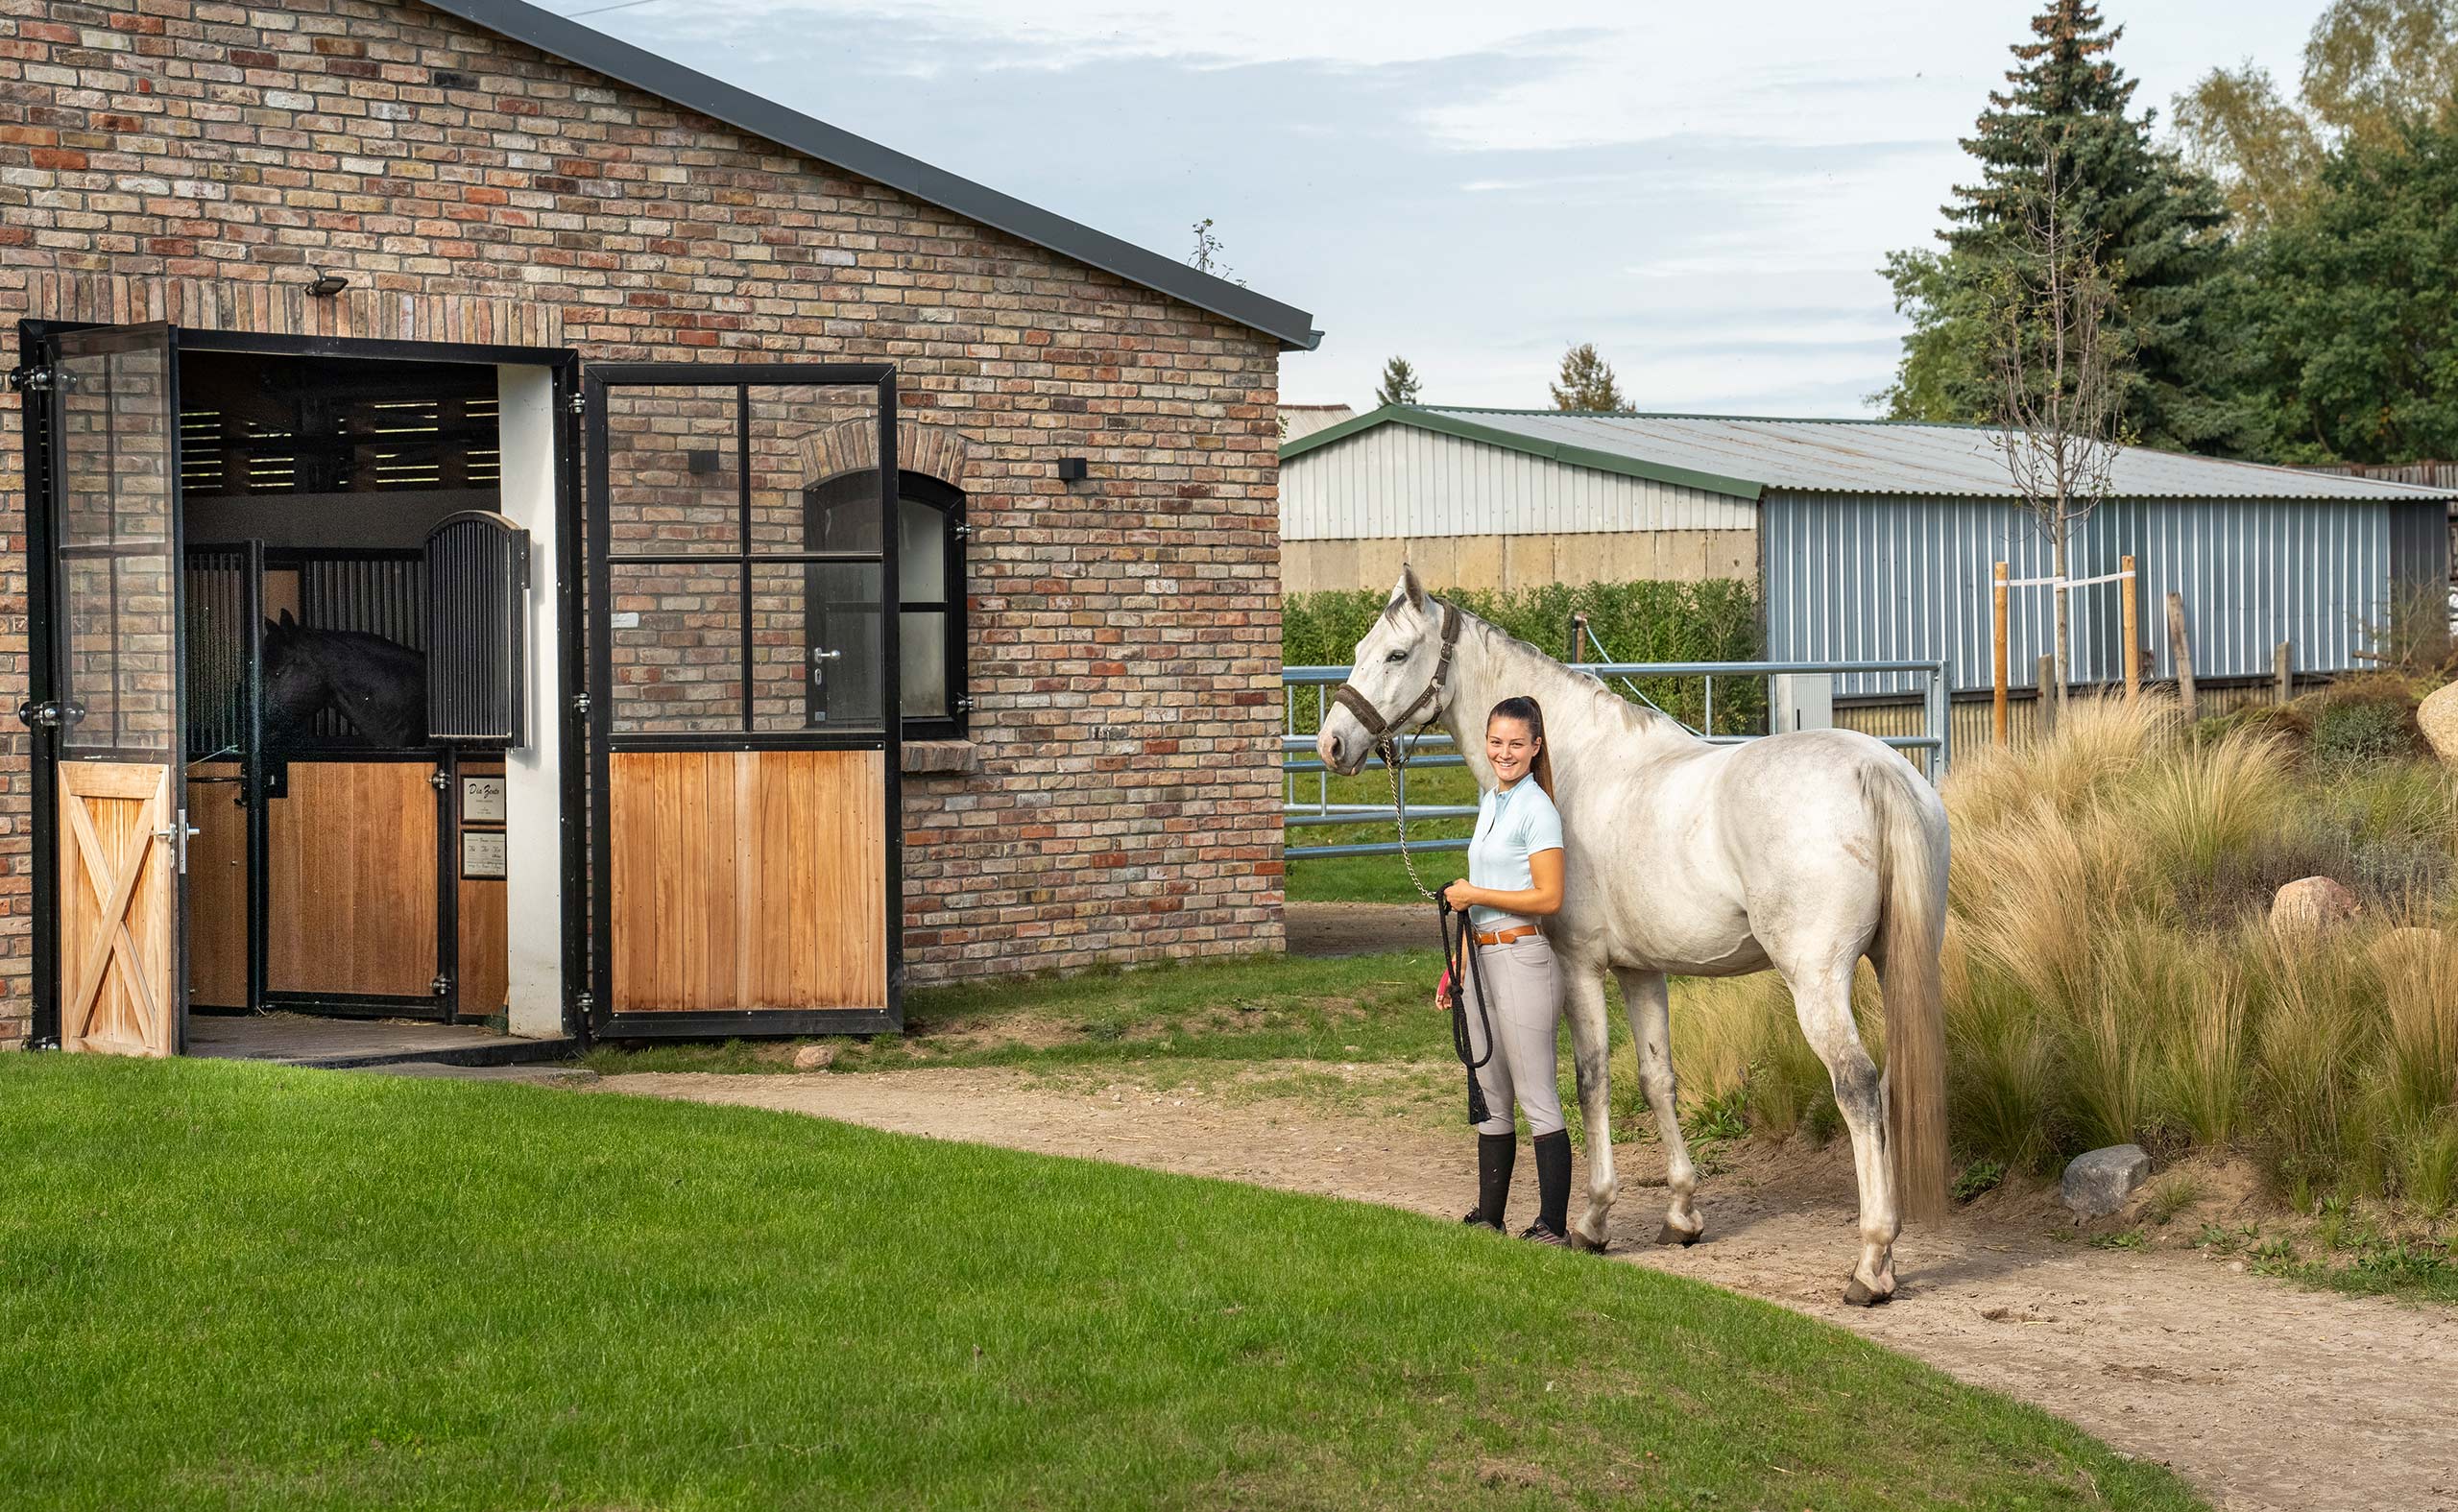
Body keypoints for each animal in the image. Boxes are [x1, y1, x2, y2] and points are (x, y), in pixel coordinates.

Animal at [1317, 567, 1946, 1298]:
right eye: (1361, 648)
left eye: (1396, 654)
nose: (1333, 744)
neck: (1579, 765)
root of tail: (1877, 769)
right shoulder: (1642, 969)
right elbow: (1657, 1079)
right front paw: (1682, 1215)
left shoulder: (1580, 964)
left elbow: (1592, 1079)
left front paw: (1591, 1221)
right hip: (1896, 963)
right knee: (1891, 1082)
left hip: (1816, 978)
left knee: (1858, 1086)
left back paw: (1871, 1264)